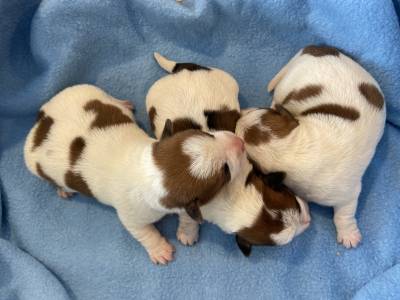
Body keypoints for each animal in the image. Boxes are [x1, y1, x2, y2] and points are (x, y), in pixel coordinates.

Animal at [25, 83, 245, 264]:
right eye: (225, 171)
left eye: (208, 134)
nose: (240, 141)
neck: (149, 169)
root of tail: (42, 118)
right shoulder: (132, 215)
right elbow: (144, 232)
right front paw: (160, 250)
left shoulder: (185, 202)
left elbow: (189, 215)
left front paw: (187, 232)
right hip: (35, 165)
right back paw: (63, 189)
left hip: (84, 91)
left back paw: (122, 103)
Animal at [145, 53, 310, 255]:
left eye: (293, 200)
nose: (309, 220)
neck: (233, 194)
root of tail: (183, 70)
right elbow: (188, 216)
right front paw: (188, 233)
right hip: (154, 94)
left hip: (226, 78)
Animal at [236, 44, 386, 248]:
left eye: (259, 109)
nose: (239, 115)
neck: (293, 148)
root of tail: (318, 48)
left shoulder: (347, 194)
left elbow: (344, 214)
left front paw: (348, 234)